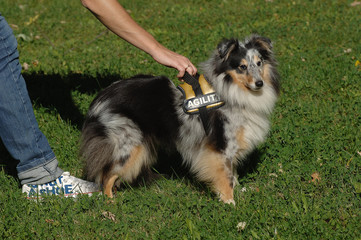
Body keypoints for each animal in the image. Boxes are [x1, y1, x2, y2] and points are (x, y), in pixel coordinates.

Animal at [80, 35, 280, 204]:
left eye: (259, 63)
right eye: (242, 67)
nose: (259, 83)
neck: (232, 91)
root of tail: (101, 97)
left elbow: (233, 173)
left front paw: (239, 190)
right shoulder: (221, 145)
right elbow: (225, 176)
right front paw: (229, 202)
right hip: (129, 144)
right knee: (106, 175)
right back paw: (111, 202)